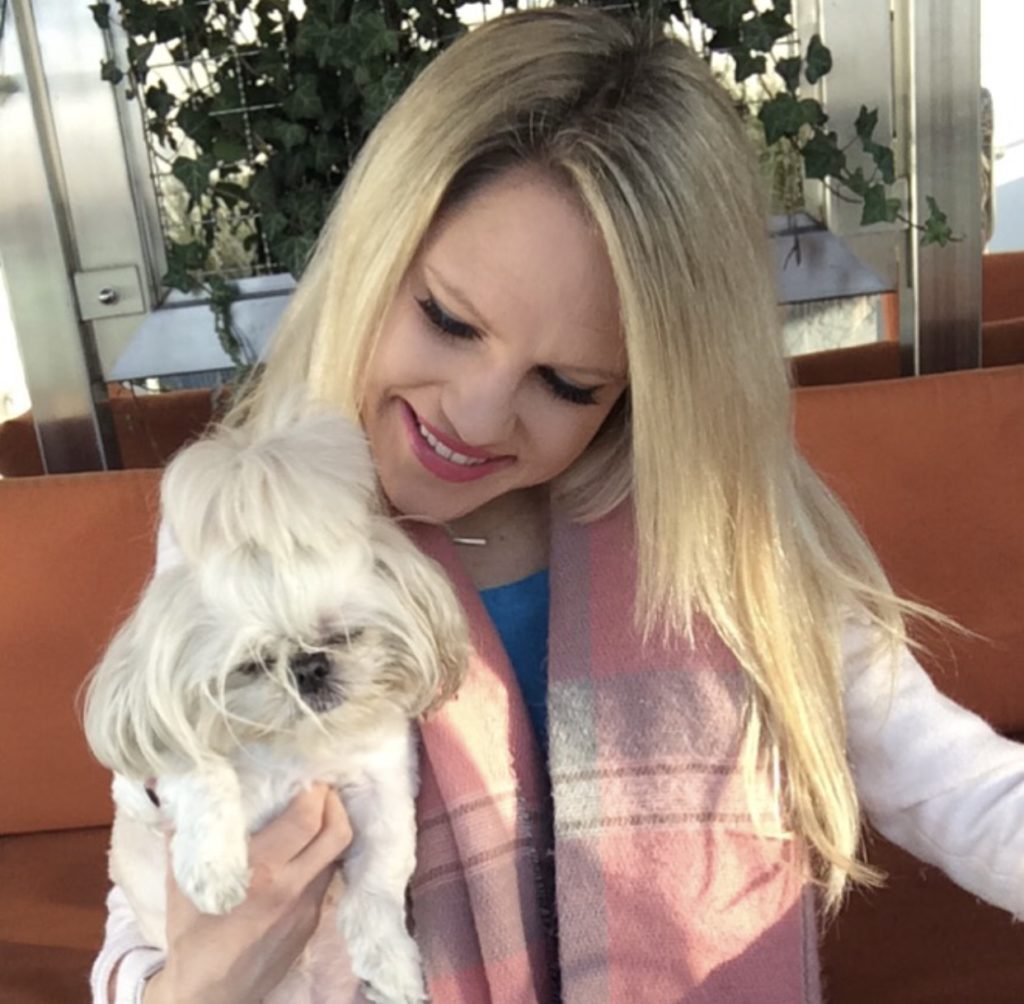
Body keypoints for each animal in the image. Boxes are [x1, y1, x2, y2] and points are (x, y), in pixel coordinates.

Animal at [83, 401, 468, 1003]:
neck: (297, 747)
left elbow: (378, 881)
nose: (309, 668)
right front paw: (214, 873)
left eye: (345, 635)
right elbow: (204, 776)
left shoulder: (379, 788)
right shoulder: (158, 768)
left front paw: (392, 966)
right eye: (253, 665)